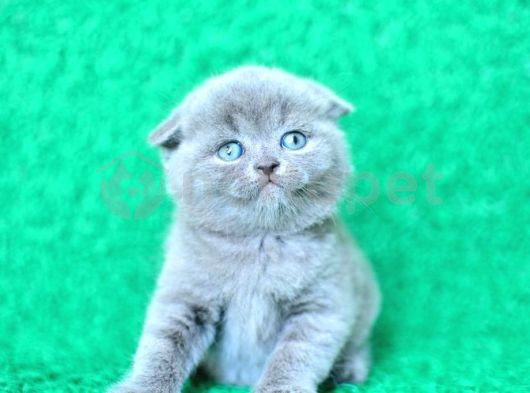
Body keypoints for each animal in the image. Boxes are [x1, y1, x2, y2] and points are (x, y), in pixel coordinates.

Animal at [108, 66, 380, 390]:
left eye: (294, 140)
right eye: (229, 151)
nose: (267, 164)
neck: (259, 242)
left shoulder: (322, 301)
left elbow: (296, 354)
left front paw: (280, 388)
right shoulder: (185, 294)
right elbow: (162, 345)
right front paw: (144, 386)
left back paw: (348, 369)